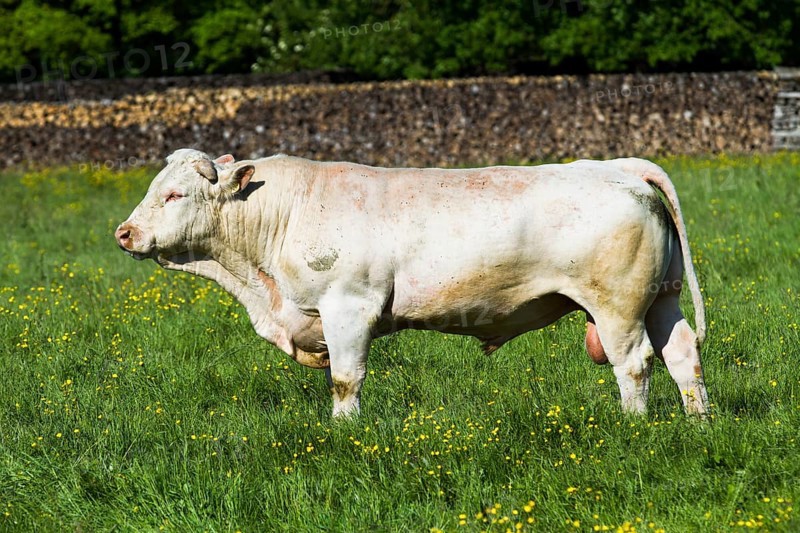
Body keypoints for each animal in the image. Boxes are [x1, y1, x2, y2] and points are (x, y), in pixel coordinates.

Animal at [115, 149, 709, 418]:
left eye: (174, 195)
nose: (124, 232)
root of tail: (617, 166)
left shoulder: (348, 307)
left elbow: (345, 379)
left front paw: (344, 432)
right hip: (662, 298)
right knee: (683, 356)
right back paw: (698, 423)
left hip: (618, 306)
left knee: (634, 364)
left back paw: (633, 424)